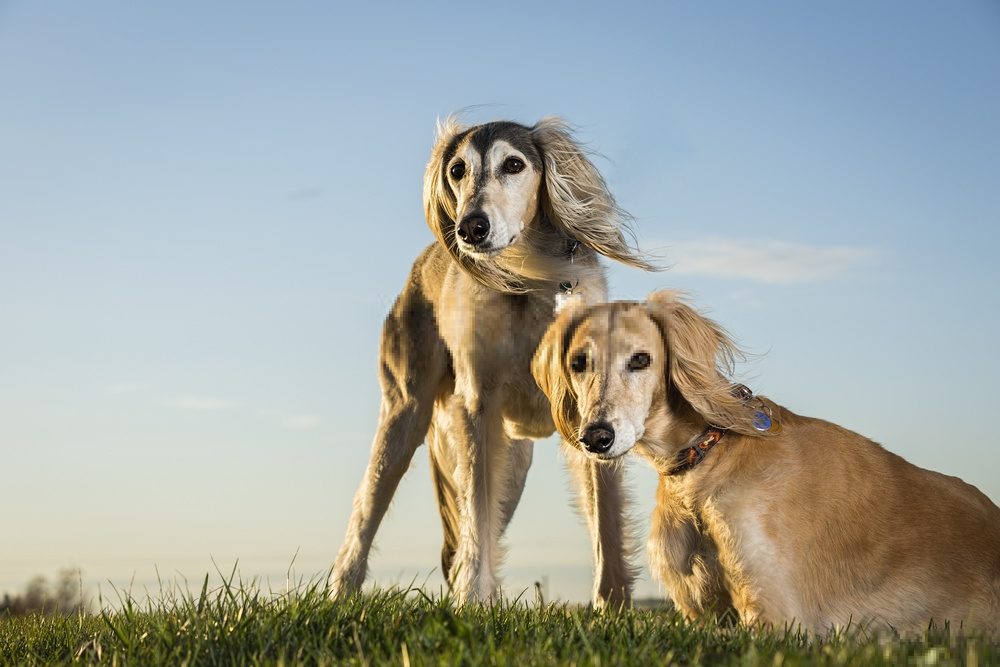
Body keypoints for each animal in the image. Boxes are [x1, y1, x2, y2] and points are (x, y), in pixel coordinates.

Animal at [328, 117, 656, 608]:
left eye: (514, 165)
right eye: (458, 169)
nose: (471, 228)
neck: (527, 280)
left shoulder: (594, 410)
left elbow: (606, 518)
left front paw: (612, 605)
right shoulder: (477, 407)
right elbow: (475, 514)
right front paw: (473, 600)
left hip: (514, 460)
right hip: (406, 413)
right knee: (370, 508)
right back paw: (341, 592)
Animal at [532, 290, 1000, 632]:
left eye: (641, 360)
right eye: (579, 362)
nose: (596, 438)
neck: (706, 459)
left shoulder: (779, 619)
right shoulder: (701, 616)